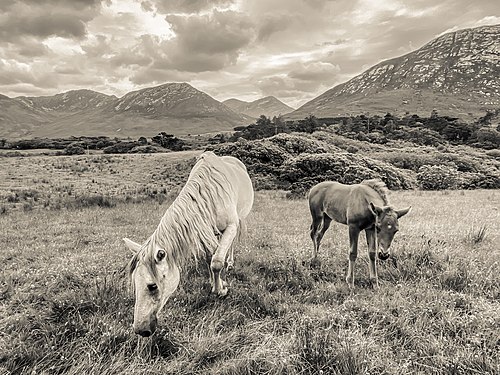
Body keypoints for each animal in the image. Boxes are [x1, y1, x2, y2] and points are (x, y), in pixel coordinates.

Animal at [123, 152, 252, 338]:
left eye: (152, 286)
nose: (141, 330)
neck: (208, 194)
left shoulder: (231, 226)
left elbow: (216, 262)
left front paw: (220, 290)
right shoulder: (204, 232)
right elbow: (210, 259)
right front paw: (215, 283)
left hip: (239, 220)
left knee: (231, 245)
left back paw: (230, 262)